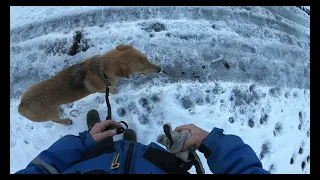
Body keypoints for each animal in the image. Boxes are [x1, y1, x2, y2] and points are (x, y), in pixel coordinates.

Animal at [18, 44, 161, 125]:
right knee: (55, 120)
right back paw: (66, 121)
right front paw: (114, 90)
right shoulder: (103, 90)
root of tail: (21, 105)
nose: (160, 69)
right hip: (53, 113)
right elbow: (110, 89)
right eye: (142, 68)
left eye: (147, 58)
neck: (102, 69)